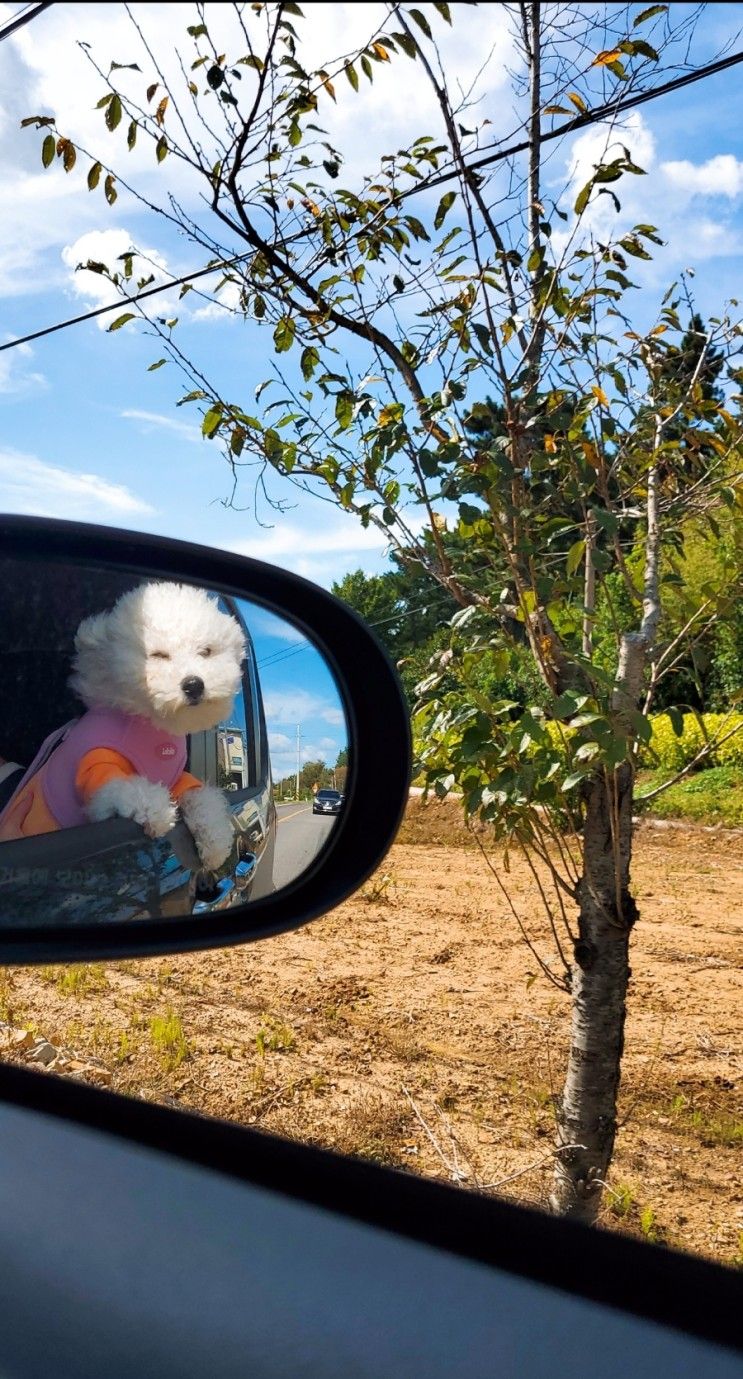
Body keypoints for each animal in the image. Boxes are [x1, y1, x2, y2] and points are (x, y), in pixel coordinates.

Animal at [66, 584, 243, 866]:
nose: (194, 684)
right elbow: (126, 786)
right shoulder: (97, 769)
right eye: (158, 655)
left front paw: (215, 843)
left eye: (205, 651)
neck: (151, 723)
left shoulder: (181, 779)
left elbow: (204, 798)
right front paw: (158, 812)